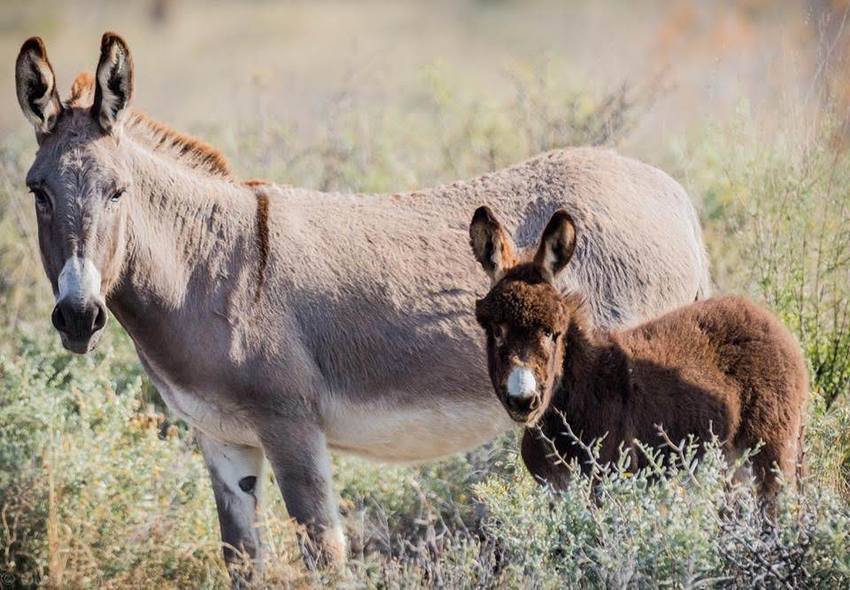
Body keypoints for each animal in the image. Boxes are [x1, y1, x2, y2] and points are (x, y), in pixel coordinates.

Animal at [470, 206, 808, 502]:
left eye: (553, 333)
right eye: (495, 331)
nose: (523, 400)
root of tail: (769, 321)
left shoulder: (609, 479)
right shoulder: (554, 489)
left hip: (771, 452)